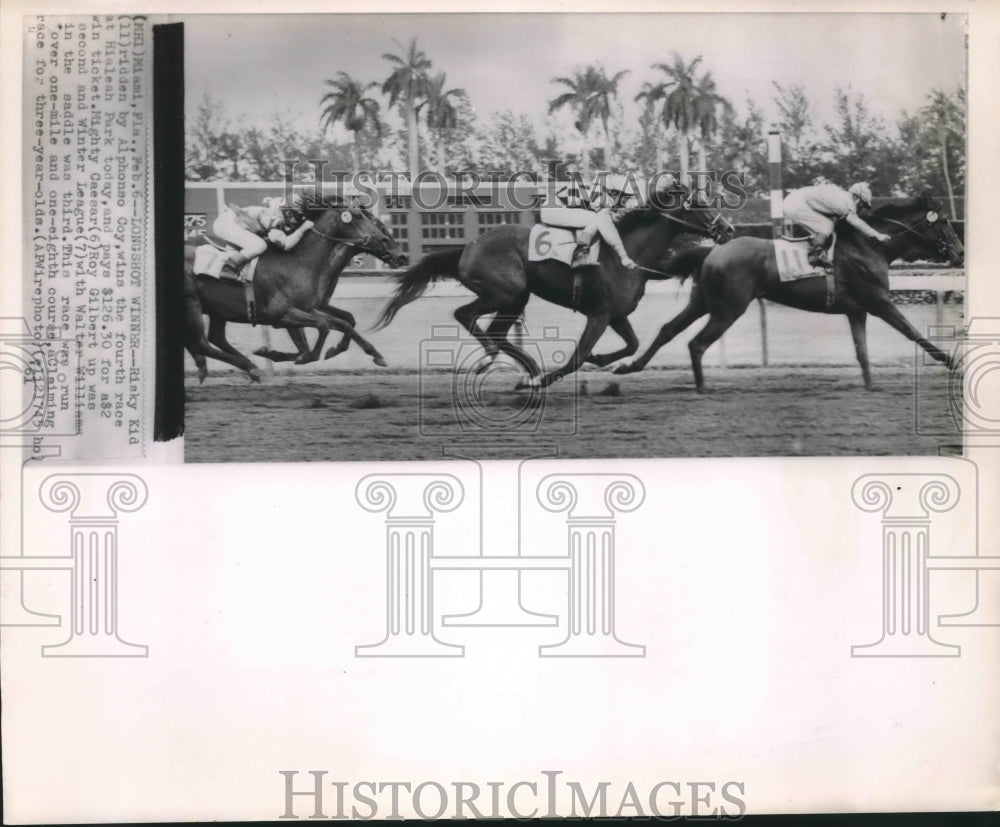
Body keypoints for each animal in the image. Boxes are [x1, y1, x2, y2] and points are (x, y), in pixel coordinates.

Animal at [186, 199, 404, 384]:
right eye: (357, 216)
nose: (399, 256)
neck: (299, 262)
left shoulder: (311, 307)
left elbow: (344, 321)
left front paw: (371, 354)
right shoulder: (281, 314)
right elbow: (325, 327)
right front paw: (298, 356)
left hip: (218, 309)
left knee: (215, 338)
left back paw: (242, 368)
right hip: (192, 304)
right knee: (201, 343)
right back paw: (247, 367)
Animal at [376, 191, 736, 392]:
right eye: (699, 204)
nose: (728, 228)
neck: (627, 253)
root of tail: (469, 246)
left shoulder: (615, 314)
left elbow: (631, 344)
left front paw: (601, 359)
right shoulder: (599, 314)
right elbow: (576, 357)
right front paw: (547, 380)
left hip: (517, 296)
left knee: (497, 332)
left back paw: (528, 369)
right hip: (504, 292)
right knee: (465, 314)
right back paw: (500, 361)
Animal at [612, 192, 964, 392]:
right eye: (944, 222)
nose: (960, 253)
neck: (869, 245)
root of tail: (712, 250)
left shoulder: (857, 309)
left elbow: (862, 352)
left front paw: (870, 387)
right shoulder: (879, 301)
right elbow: (913, 332)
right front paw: (953, 362)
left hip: (703, 302)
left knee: (668, 330)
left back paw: (629, 367)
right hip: (728, 308)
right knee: (696, 344)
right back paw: (701, 389)